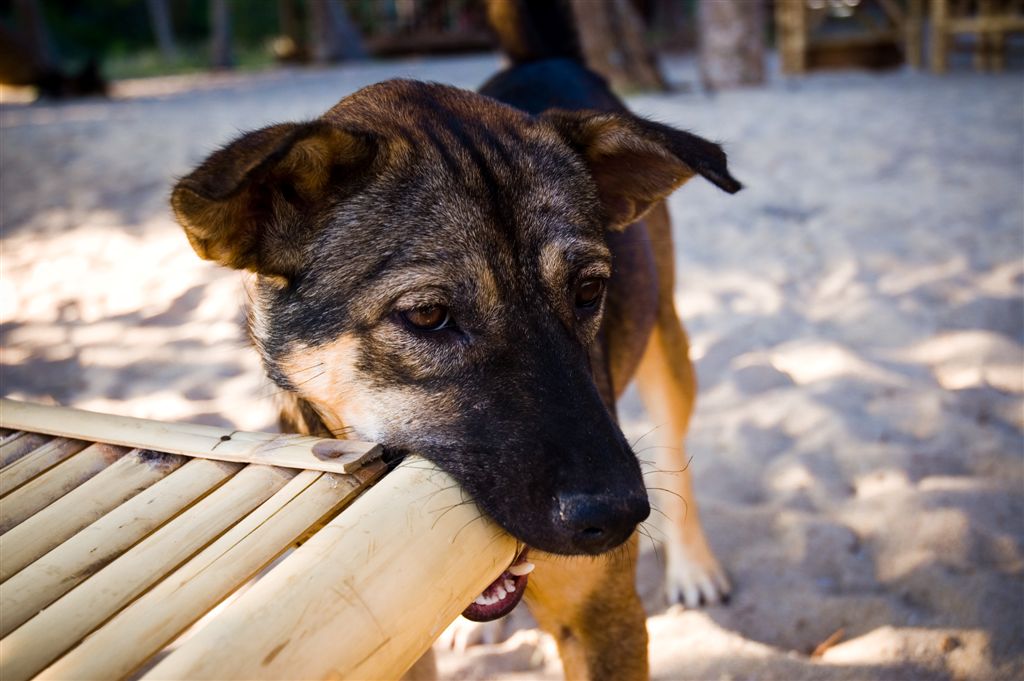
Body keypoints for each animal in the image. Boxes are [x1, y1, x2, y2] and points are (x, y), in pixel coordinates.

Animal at [172, 2, 741, 675]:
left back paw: (693, 565)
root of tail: (544, 59)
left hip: (666, 344)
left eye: (588, 290)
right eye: (426, 316)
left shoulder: (604, 618)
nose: (618, 516)